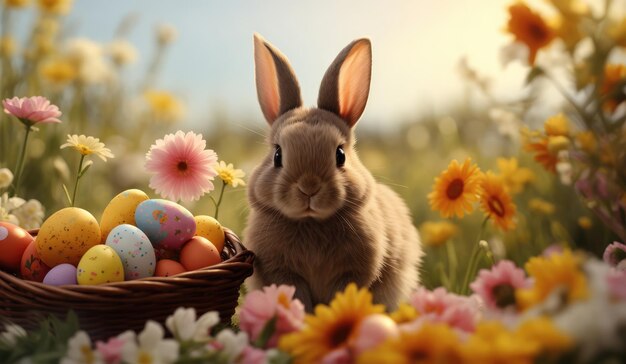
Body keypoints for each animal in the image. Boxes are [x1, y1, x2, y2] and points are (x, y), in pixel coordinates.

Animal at [241, 34, 422, 312]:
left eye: (340, 155)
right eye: (277, 155)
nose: (309, 187)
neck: (311, 222)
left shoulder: (352, 273)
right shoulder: (282, 273)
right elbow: (297, 296)